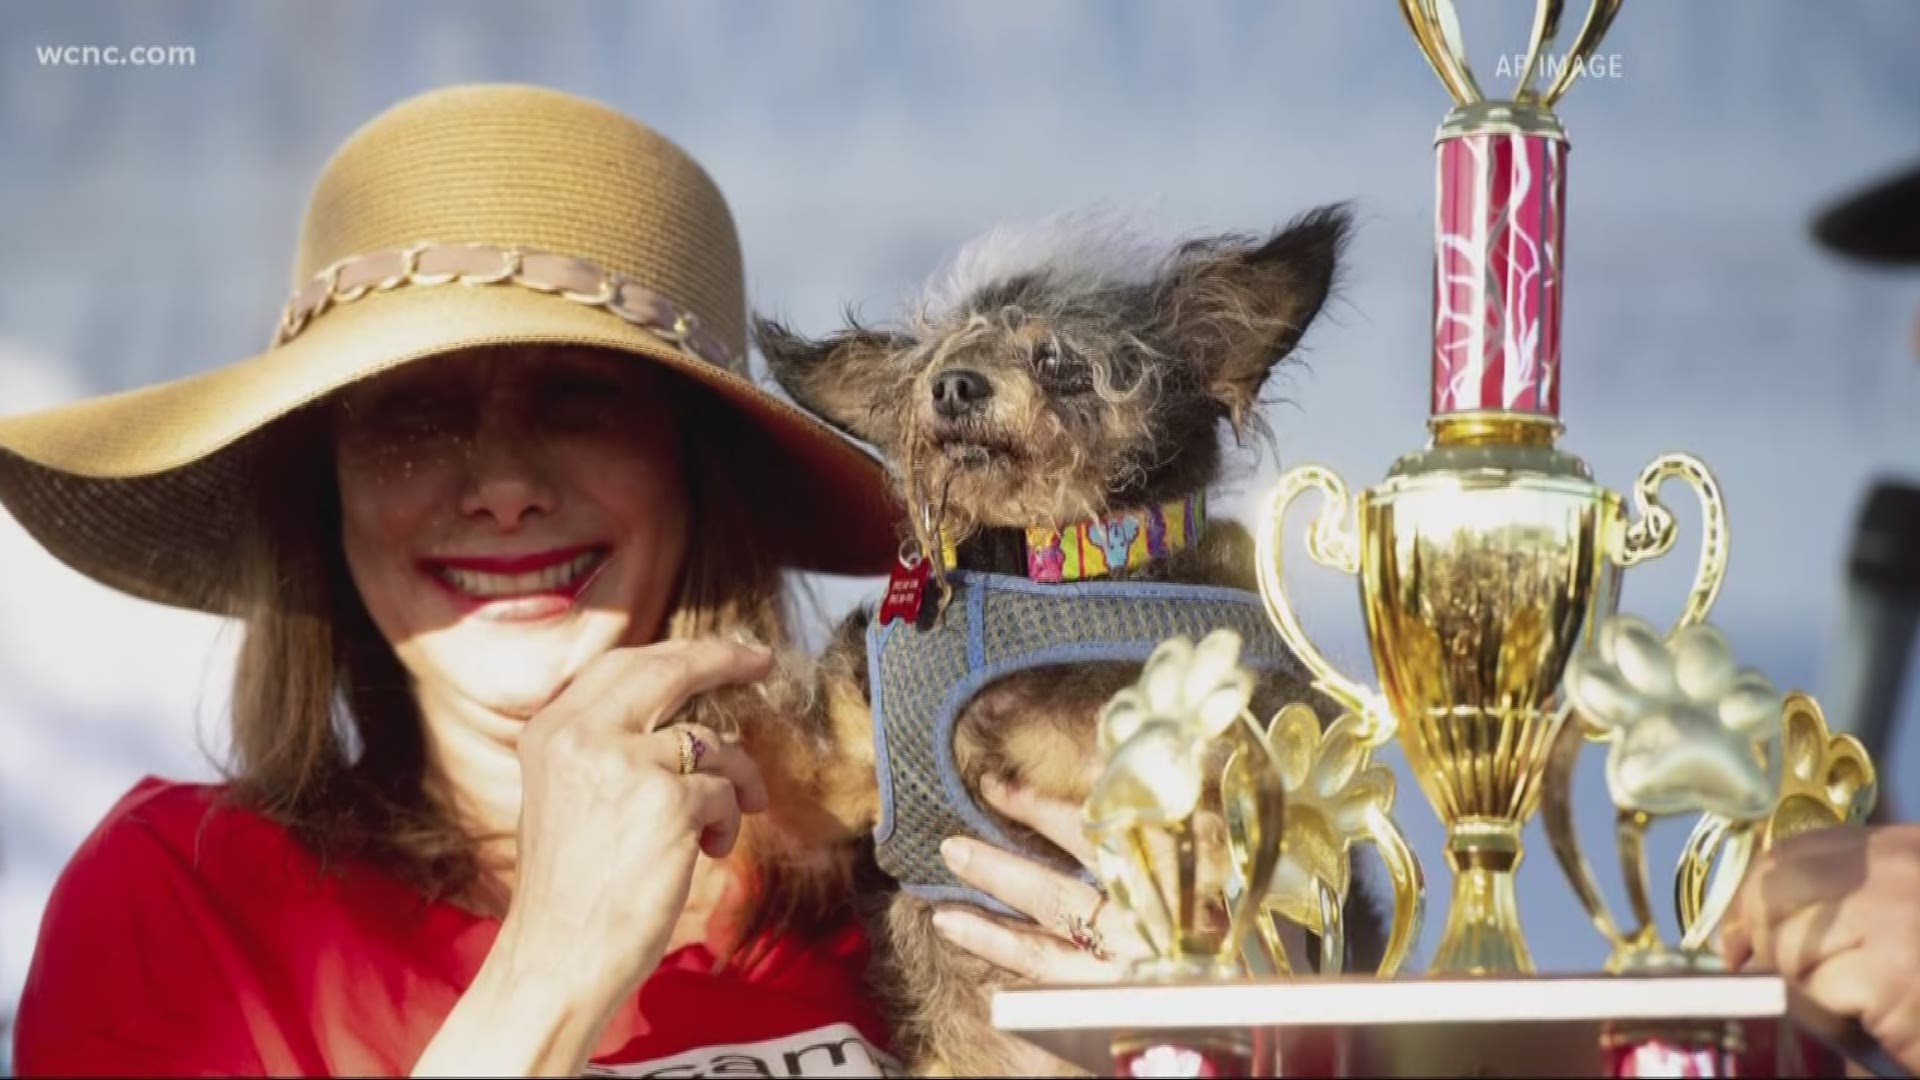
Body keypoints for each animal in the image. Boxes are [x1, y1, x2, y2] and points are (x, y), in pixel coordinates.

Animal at [752, 205, 1382, 1068]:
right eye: (937, 362)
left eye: (1057, 359)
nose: (954, 385)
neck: (1034, 566)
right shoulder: (835, 771)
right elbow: (755, 740)